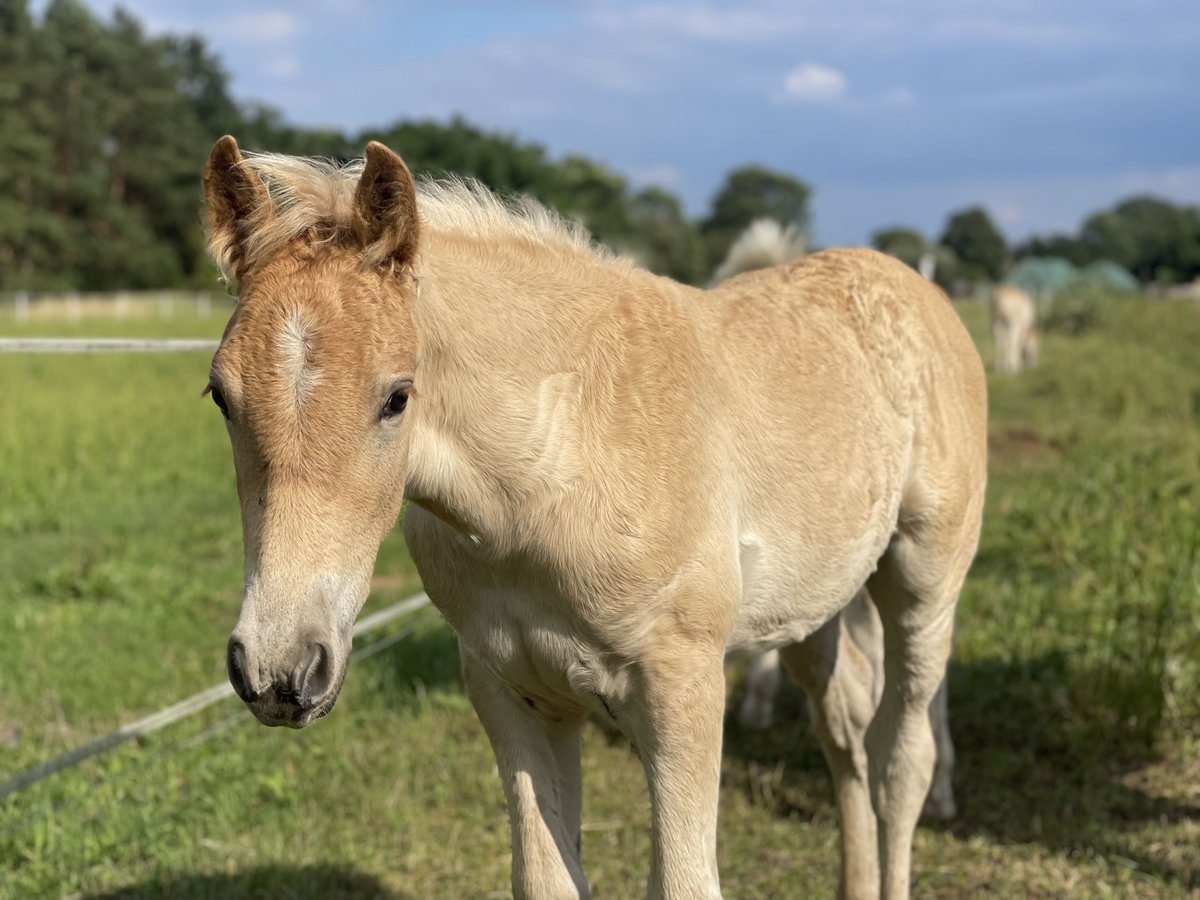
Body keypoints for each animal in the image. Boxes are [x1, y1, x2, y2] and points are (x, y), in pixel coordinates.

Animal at [204, 135, 984, 900]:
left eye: (397, 397)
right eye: (220, 395)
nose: (279, 668)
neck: (553, 474)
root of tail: (913, 285)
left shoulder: (683, 686)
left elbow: (686, 883)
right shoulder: (513, 692)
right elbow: (545, 878)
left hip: (922, 581)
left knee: (900, 758)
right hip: (811, 608)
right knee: (845, 727)